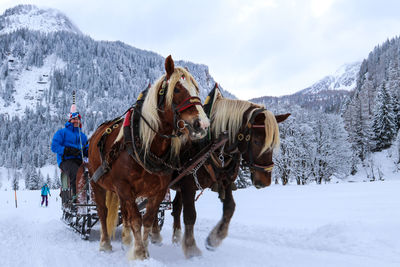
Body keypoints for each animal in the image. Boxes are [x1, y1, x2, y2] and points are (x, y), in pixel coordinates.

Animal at [88, 55, 209, 260]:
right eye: (177, 89)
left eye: (196, 89)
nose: (202, 124)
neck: (147, 144)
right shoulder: (124, 187)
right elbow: (137, 219)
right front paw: (139, 253)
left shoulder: (158, 190)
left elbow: (148, 219)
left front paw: (143, 248)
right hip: (98, 184)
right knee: (103, 212)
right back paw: (105, 244)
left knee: (124, 213)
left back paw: (126, 241)